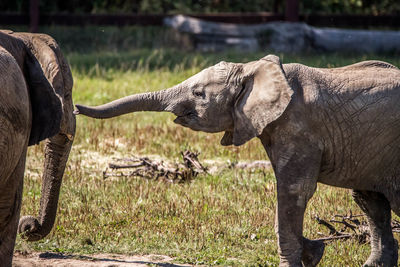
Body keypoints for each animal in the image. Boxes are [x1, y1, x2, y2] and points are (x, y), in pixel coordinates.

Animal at [75, 55, 400, 266]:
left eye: (199, 93)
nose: (76, 108)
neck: (255, 69)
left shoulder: (299, 127)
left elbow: (293, 190)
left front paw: (306, 257)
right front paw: (314, 252)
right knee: (369, 200)